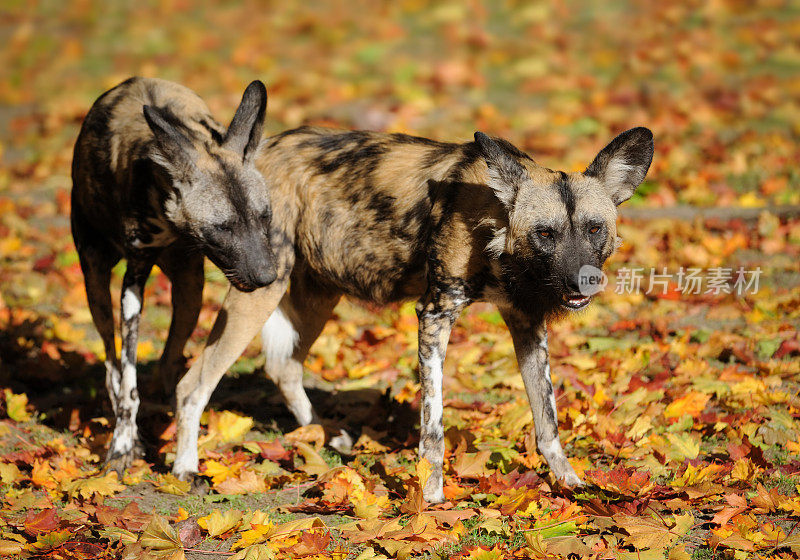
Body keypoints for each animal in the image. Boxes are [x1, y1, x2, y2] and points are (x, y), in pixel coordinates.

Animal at [72, 77, 278, 472]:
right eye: (223, 228)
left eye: (264, 216)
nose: (266, 277)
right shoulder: (133, 282)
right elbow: (128, 385)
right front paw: (121, 447)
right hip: (95, 283)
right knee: (111, 365)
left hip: (190, 289)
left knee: (170, 362)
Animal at [172, 124, 652, 500]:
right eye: (545, 234)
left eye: (594, 228)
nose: (582, 281)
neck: (494, 225)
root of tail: (259, 152)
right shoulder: (435, 316)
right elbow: (433, 428)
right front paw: (433, 496)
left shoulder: (528, 324)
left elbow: (547, 421)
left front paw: (570, 485)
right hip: (260, 289)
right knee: (193, 385)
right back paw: (186, 469)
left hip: (319, 293)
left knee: (284, 365)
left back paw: (323, 436)